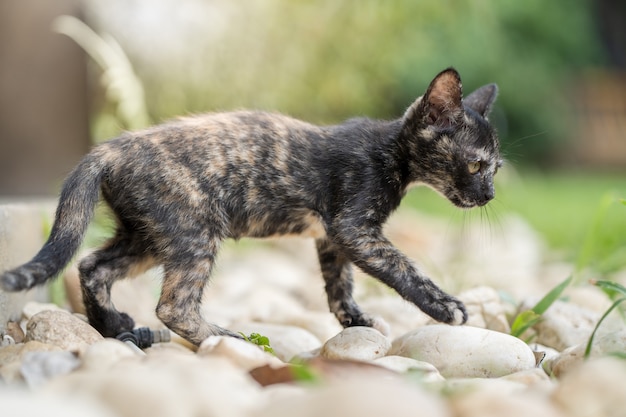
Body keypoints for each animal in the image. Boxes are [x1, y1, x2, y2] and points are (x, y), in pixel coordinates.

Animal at [0, 67, 498, 344]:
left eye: (495, 169)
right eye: (476, 165)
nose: (490, 195)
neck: (389, 152)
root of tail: (110, 148)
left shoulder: (332, 237)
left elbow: (339, 284)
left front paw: (354, 320)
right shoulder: (355, 228)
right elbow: (402, 268)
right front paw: (445, 307)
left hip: (147, 234)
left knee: (92, 266)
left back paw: (114, 327)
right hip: (194, 232)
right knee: (173, 306)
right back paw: (227, 339)